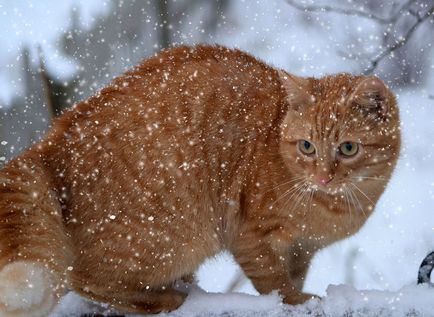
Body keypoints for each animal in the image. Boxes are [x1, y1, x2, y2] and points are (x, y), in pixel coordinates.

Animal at [0, 45, 400, 316]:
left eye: (348, 148)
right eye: (307, 146)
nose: (323, 176)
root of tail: (48, 144)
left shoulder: (302, 251)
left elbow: (293, 274)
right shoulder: (250, 237)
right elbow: (275, 283)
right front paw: (295, 301)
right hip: (164, 239)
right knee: (83, 278)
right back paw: (167, 297)